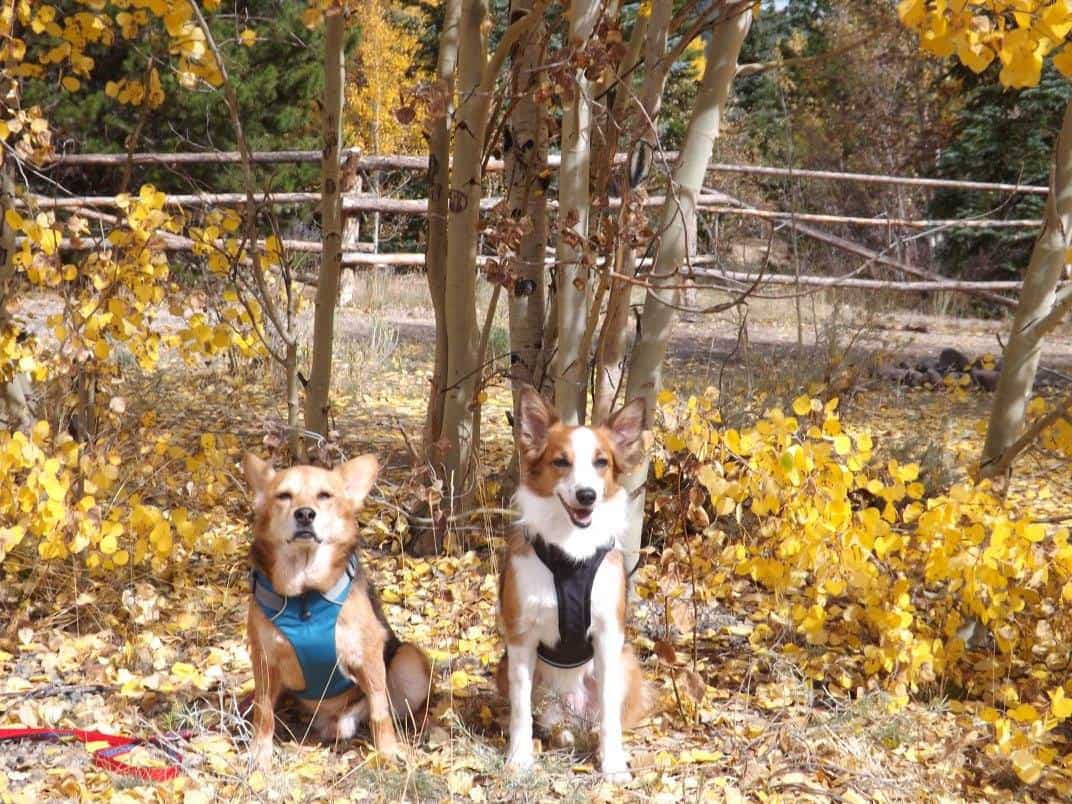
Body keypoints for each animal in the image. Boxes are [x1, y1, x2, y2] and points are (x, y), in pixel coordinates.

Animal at [241, 456, 428, 771]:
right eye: (284, 496)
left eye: (324, 495)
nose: (305, 514)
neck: (305, 596)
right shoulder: (264, 658)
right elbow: (263, 711)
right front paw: (259, 752)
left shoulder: (369, 655)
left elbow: (380, 711)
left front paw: (388, 751)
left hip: (410, 661)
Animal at [495, 388, 651, 784]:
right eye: (561, 462)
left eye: (601, 462)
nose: (587, 496)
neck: (571, 551)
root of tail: (571, 710)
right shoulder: (520, 638)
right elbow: (520, 711)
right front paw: (519, 758)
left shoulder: (609, 637)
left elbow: (610, 714)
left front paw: (612, 764)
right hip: (503, 668)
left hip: (628, 662)